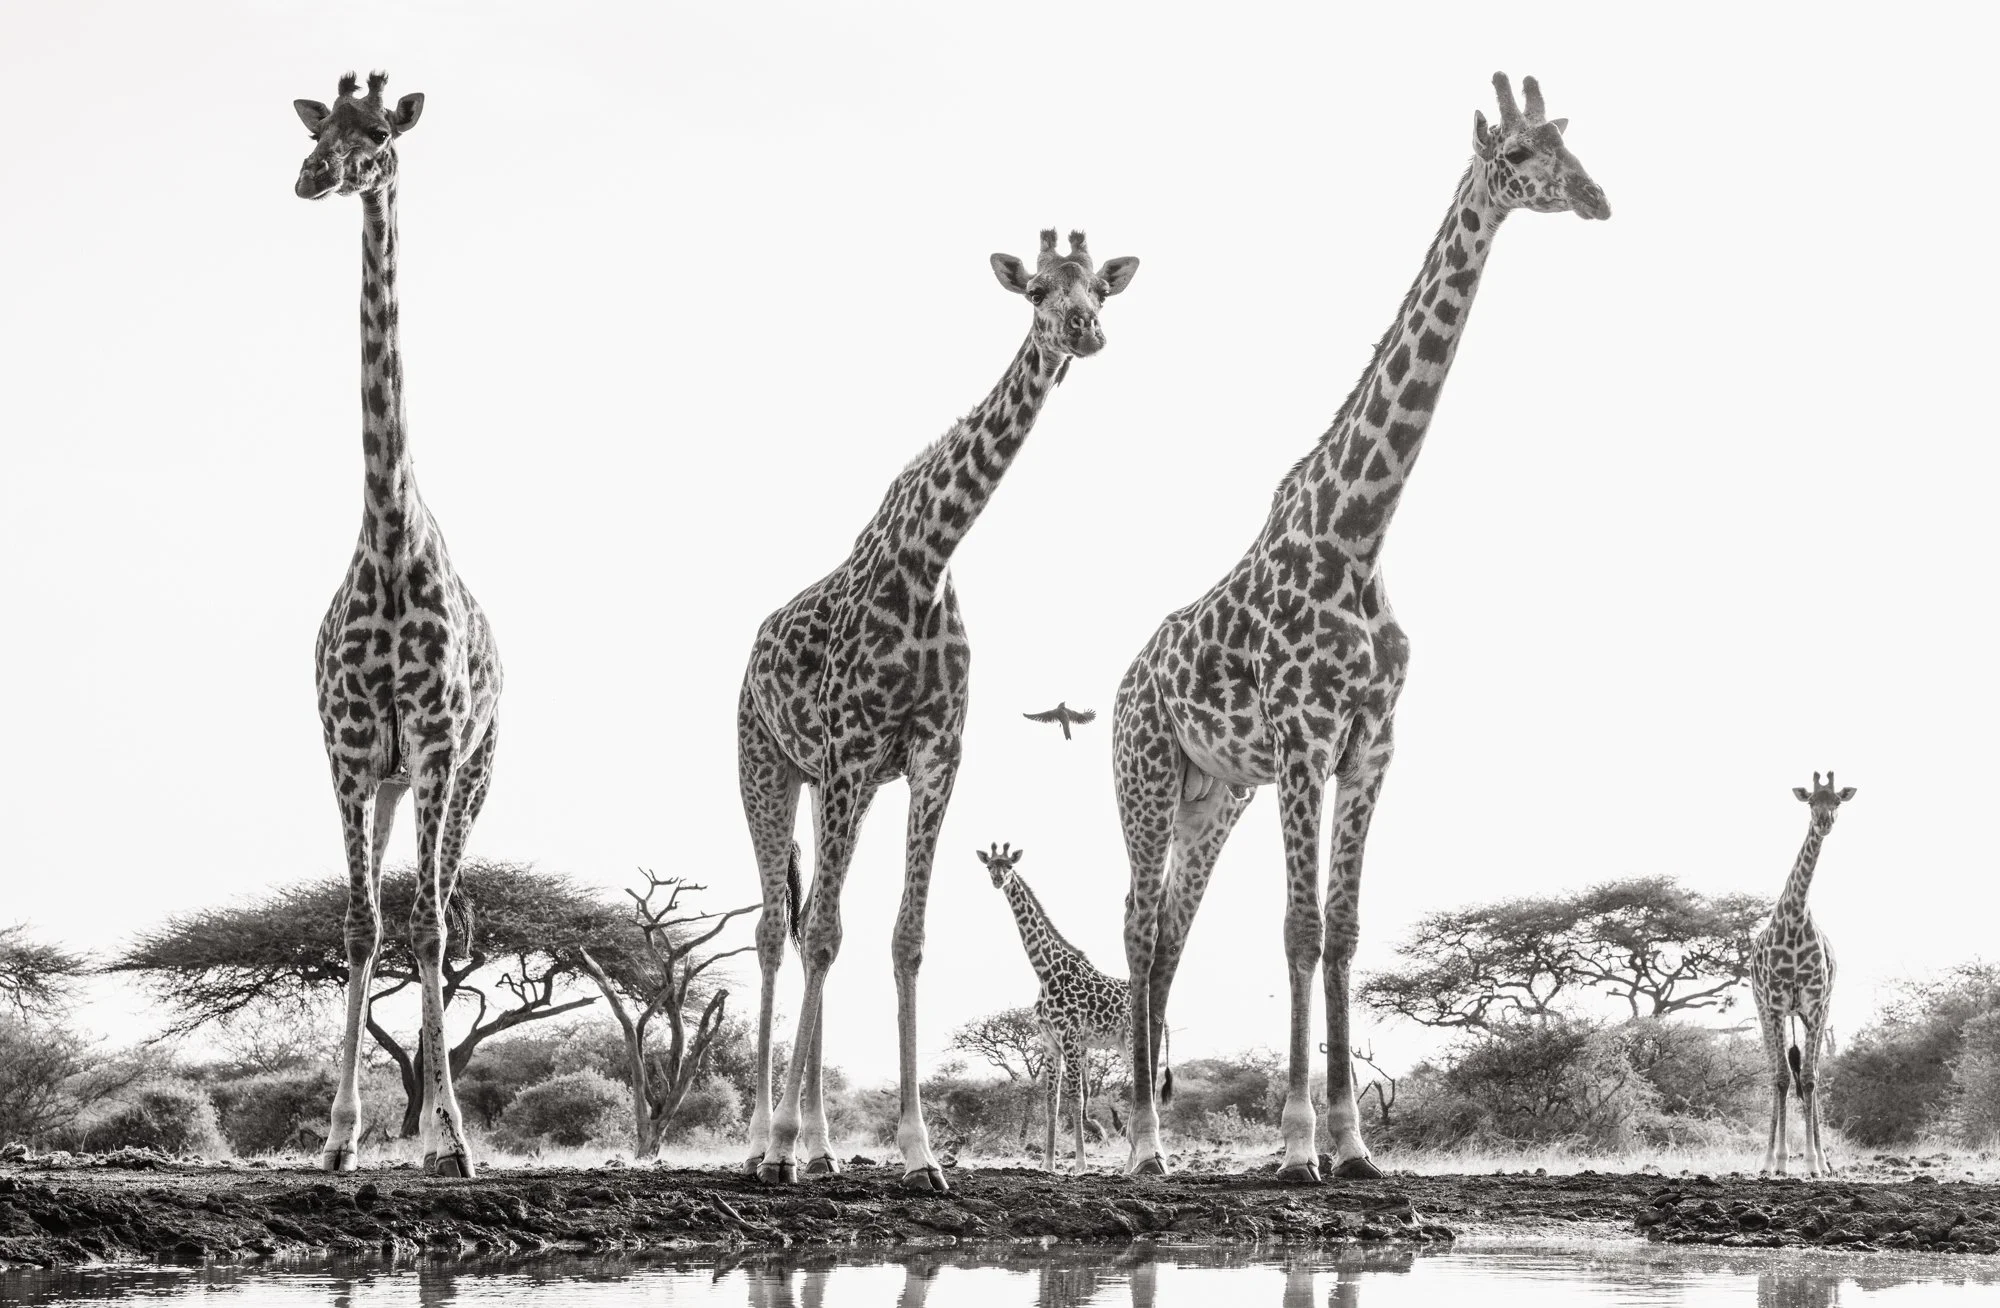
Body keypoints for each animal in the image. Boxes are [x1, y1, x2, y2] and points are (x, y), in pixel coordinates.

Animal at [977, 843, 1134, 1172]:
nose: (998, 880)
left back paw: (1133, 1164)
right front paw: (1048, 1163)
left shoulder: (1071, 1038)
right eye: (989, 866)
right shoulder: (1048, 1040)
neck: (1046, 971)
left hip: (1131, 1040)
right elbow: (1052, 1100)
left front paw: (1081, 1164)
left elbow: (1076, 1097)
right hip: (1121, 1045)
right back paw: (1132, 1163)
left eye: (1009, 865)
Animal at [1110, 73, 1611, 1182]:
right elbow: (1299, 928)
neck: (1361, 530)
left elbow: (1341, 931)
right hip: (1145, 774)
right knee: (1134, 930)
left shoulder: (1371, 744)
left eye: (1570, 143)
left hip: (1216, 796)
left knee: (1169, 937)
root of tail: (1127, 678)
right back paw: (1144, 1148)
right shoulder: (1306, 738)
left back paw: (1161, 1132)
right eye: (1518, 154)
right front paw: (1298, 1145)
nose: (1598, 198)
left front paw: (1354, 1145)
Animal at [1750, 771, 1854, 1177]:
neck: (1794, 920)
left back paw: (1823, 1160)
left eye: (1836, 800)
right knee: (1776, 1074)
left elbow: (1809, 1079)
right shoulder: (1776, 1005)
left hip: (1816, 1014)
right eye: (1811, 800)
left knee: (1814, 1076)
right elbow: (1781, 1078)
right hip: (1764, 1010)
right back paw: (1769, 1160)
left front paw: (1813, 1162)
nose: (1824, 822)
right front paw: (1776, 1160)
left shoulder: (1814, 1005)